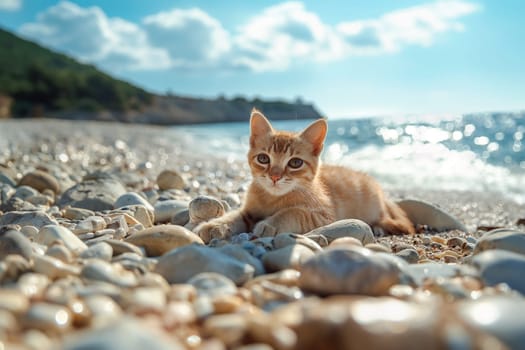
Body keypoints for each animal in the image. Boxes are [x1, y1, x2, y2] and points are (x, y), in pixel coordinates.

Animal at [194, 108, 416, 242]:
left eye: (295, 163)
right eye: (263, 159)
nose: (275, 176)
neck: (273, 198)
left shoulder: (325, 215)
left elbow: (294, 212)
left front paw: (270, 224)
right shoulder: (249, 211)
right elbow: (235, 215)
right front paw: (216, 224)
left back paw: (378, 227)